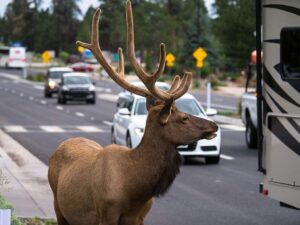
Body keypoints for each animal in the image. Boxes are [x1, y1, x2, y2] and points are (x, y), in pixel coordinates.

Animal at [48, 0, 218, 224]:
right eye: (183, 117)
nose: (214, 125)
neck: (135, 187)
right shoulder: (106, 213)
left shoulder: (139, 216)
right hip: (57, 205)